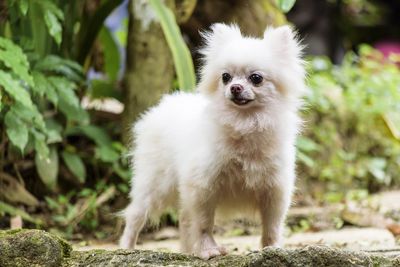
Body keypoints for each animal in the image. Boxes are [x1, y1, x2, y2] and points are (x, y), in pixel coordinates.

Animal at [119, 23, 306, 260]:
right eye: (226, 77)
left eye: (256, 78)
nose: (235, 87)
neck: (244, 124)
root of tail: (161, 106)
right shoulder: (203, 187)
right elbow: (204, 224)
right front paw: (208, 249)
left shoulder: (274, 190)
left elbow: (272, 226)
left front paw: (272, 249)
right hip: (155, 185)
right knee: (135, 216)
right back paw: (125, 248)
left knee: (184, 221)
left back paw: (187, 251)